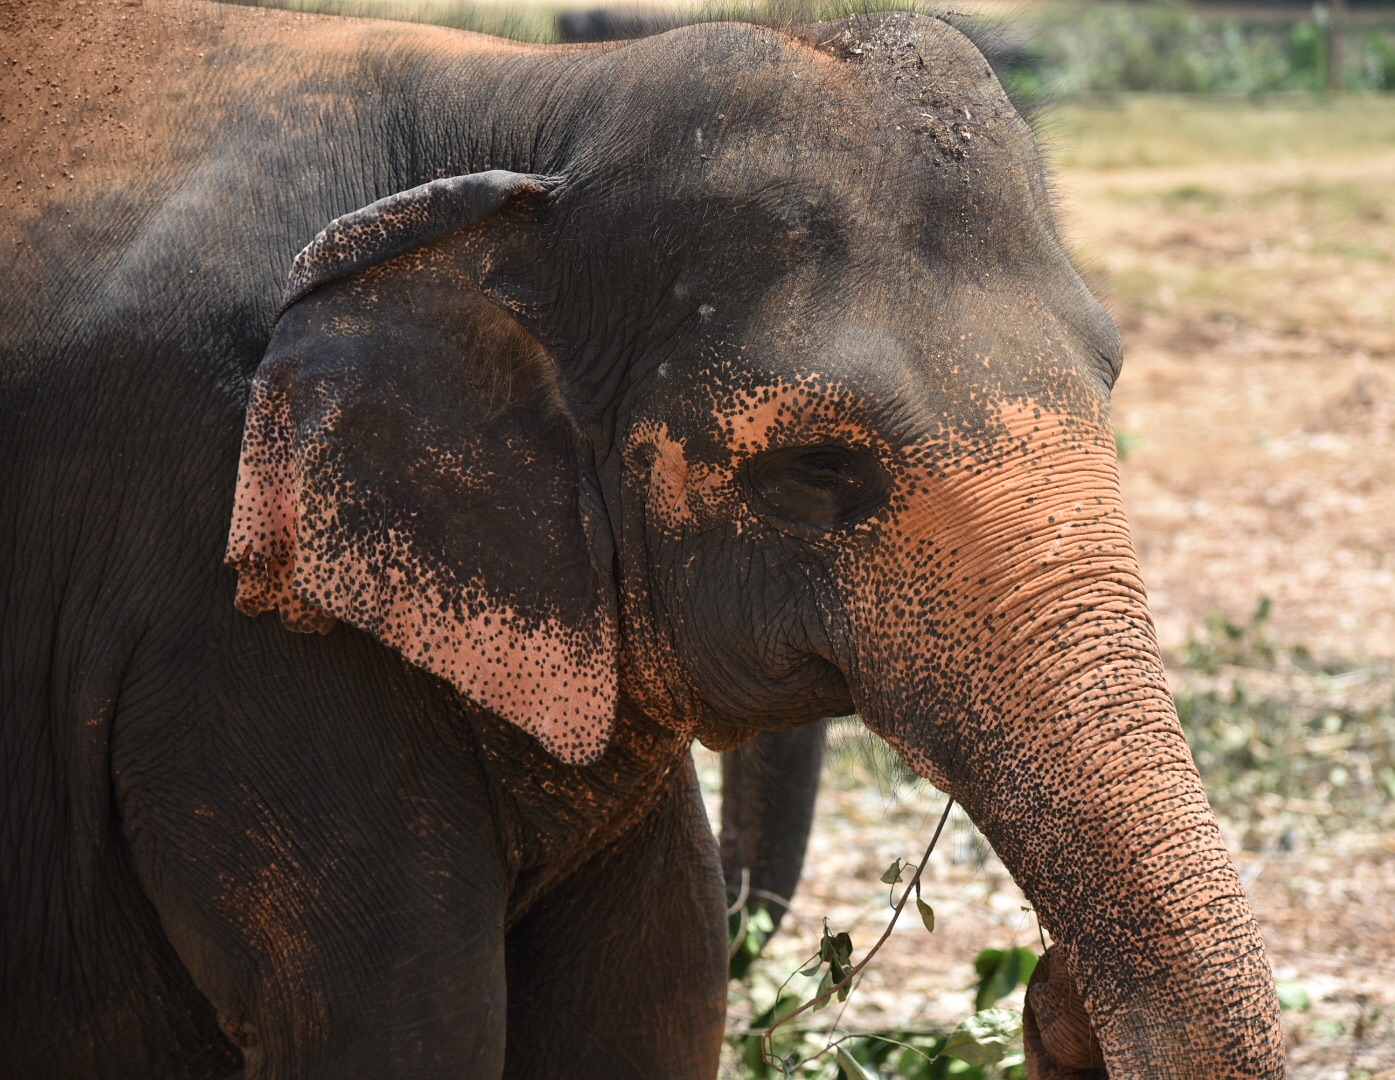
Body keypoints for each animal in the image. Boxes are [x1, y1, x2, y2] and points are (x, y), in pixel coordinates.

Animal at [2, 0, 1283, 1077]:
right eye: (818, 470)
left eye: (1109, 379)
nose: (1052, 984)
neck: (535, 116)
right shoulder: (228, 609)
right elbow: (403, 1029)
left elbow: (657, 994)